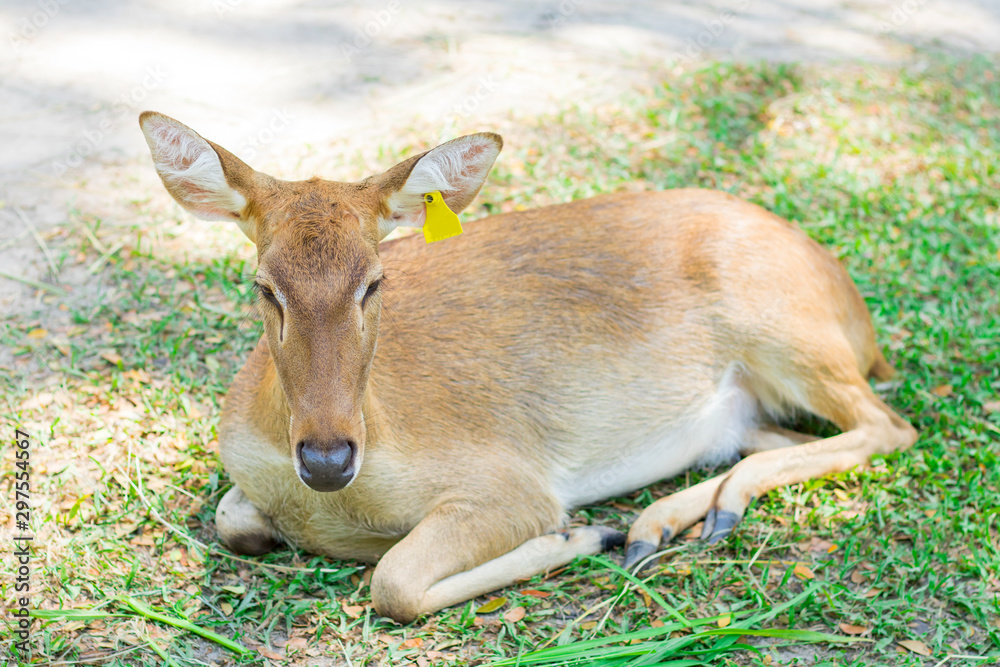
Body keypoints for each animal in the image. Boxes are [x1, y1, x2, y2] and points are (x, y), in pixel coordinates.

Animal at [139, 111, 917, 624]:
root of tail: (853, 308)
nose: (327, 456)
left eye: (375, 281)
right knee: (785, 440)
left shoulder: (505, 482)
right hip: (750, 402)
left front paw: (576, 533)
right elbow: (232, 517)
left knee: (890, 425)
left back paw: (639, 527)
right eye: (265, 285)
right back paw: (664, 523)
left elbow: (394, 583)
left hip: (787, 330)